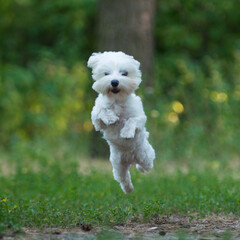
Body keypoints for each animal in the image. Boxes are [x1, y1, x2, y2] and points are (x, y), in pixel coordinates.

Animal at [87, 51, 155, 193]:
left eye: (124, 73)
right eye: (106, 73)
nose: (114, 82)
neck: (117, 100)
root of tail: (131, 159)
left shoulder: (139, 118)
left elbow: (131, 120)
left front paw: (126, 132)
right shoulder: (96, 120)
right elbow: (101, 112)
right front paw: (111, 118)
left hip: (145, 155)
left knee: (146, 165)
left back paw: (141, 169)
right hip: (118, 166)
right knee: (124, 178)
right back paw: (128, 189)